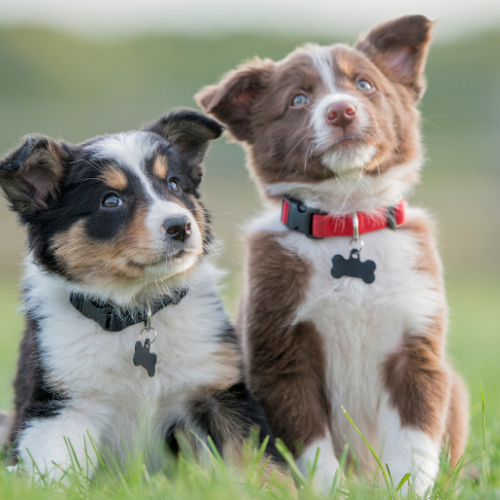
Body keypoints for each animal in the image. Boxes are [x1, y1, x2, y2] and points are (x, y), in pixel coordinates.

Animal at [0, 110, 286, 484]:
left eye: (173, 184)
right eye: (110, 201)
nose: (181, 226)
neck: (137, 310)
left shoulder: (220, 392)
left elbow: (265, 466)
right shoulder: (60, 405)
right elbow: (56, 473)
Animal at [198, 15, 468, 496]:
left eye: (364, 85)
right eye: (298, 100)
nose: (341, 110)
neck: (348, 220)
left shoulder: (417, 345)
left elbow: (415, 441)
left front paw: (407, 488)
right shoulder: (281, 353)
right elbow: (312, 447)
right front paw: (333, 490)